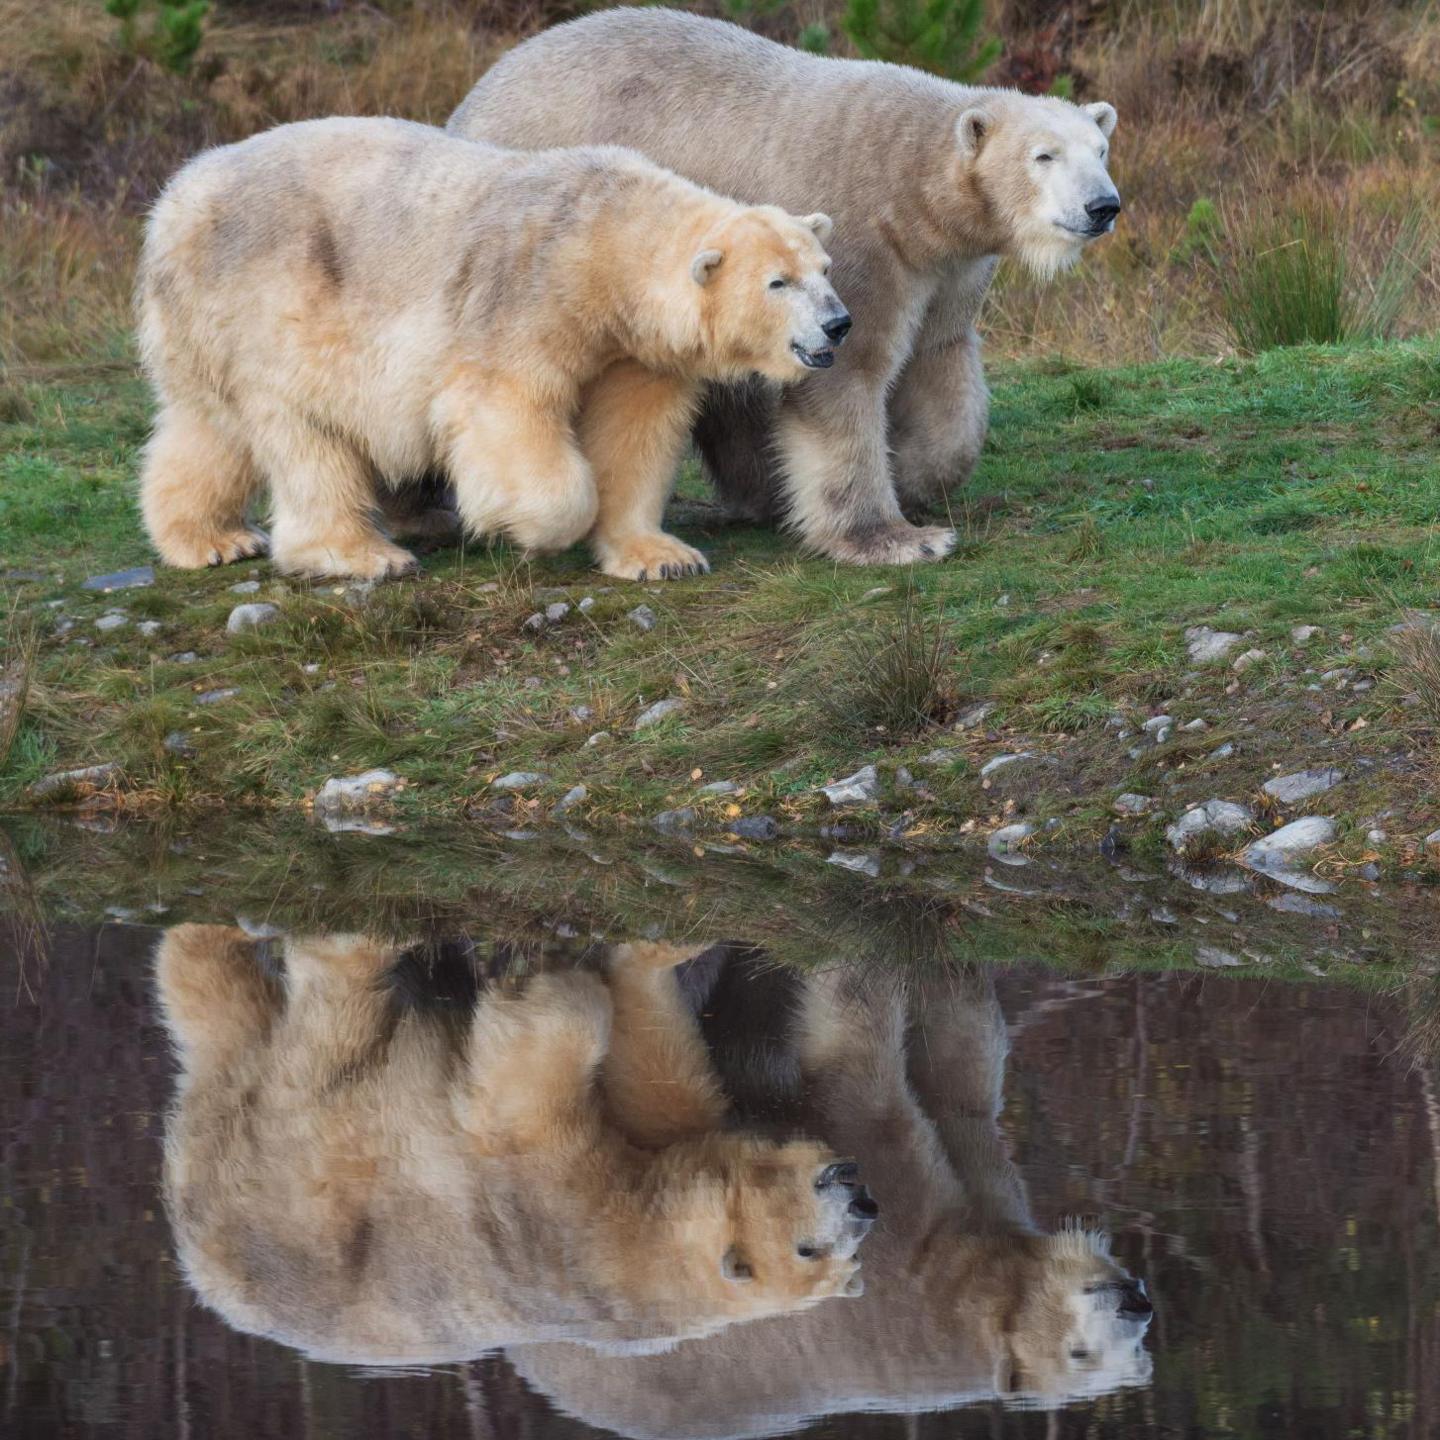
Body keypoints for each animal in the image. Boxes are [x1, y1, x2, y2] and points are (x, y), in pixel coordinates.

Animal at [137, 115, 840, 581]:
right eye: (778, 282)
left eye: (824, 267)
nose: (839, 324)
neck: (601, 240)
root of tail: (172, 206)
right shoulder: (527, 302)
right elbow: (505, 414)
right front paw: (527, 528)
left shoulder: (634, 352)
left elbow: (634, 432)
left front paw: (660, 556)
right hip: (275, 307)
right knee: (307, 428)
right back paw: (363, 554)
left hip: (202, 331)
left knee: (207, 429)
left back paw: (211, 538)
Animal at [157, 927, 875, 1365]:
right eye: (809, 1248)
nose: (864, 1200)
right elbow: (654, 1070)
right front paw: (653, 951)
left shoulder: (561, 1224)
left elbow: (518, 1114)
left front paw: (542, 985)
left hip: (293, 1169)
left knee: (327, 1030)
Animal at [443, 8, 1117, 564]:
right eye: (1044, 155)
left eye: (1101, 147)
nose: (1103, 206)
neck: (912, 187)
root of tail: (471, 98)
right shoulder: (856, 244)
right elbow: (844, 374)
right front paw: (895, 539)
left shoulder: (948, 270)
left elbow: (940, 360)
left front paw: (918, 475)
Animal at [506, 956, 1157, 1428]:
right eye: (1079, 1354)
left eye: (1132, 1357)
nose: (1138, 1302)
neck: (959, 1298)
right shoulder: (902, 1247)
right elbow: (863, 1069)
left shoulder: (962, 1190)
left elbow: (956, 1079)